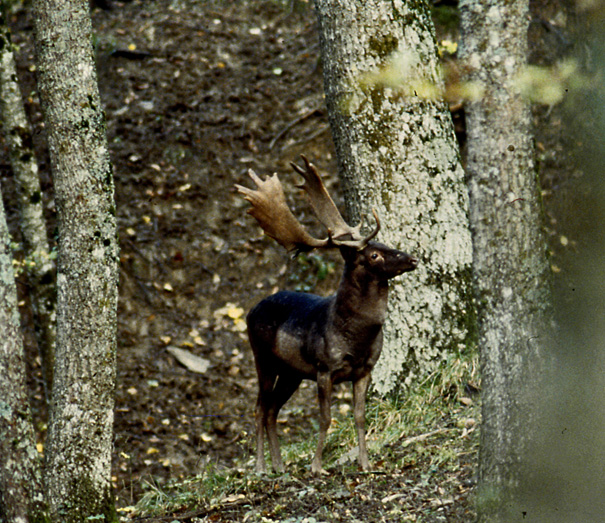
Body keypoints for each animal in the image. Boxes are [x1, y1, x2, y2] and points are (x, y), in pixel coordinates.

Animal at [234, 155, 418, 474]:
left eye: (384, 244)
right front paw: (317, 466)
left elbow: (359, 417)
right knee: (259, 407)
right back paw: (260, 467)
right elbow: (325, 418)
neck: (356, 337)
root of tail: (251, 310)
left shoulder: (365, 369)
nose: (413, 258)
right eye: (374, 255)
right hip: (263, 358)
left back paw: (279, 466)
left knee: (272, 409)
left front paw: (366, 463)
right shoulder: (324, 368)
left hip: (292, 372)